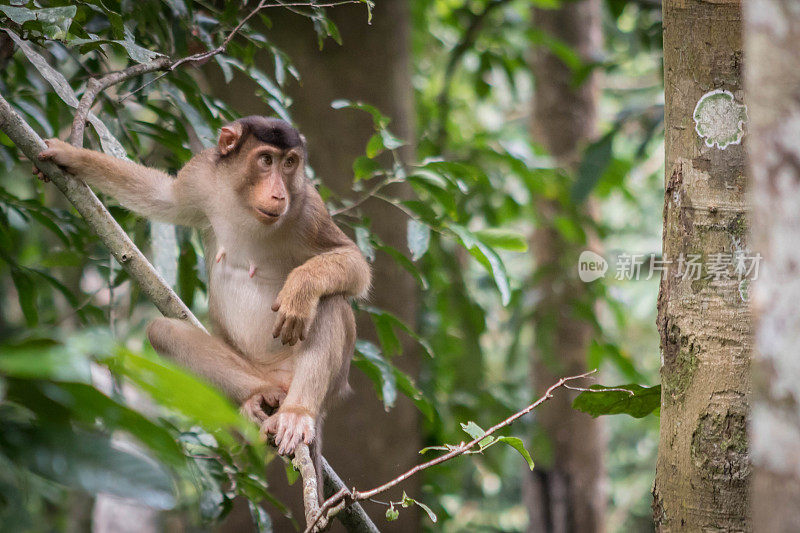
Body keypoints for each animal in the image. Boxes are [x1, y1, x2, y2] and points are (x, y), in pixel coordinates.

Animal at [37, 116, 372, 458]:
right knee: (162, 332)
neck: (243, 203)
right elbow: (163, 197)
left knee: (330, 301)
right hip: (248, 366)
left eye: (290, 163)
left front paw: (301, 289)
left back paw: (296, 412)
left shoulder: (306, 208)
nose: (279, 195)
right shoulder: (203, 176)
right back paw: (258, 396)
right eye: (266, 160)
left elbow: (353, 262)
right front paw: (69, 155)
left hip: (321, 384)